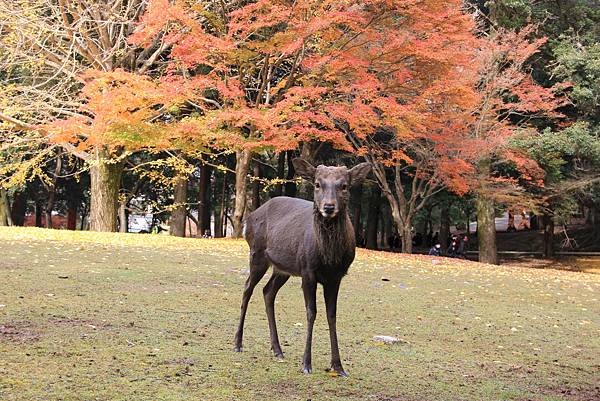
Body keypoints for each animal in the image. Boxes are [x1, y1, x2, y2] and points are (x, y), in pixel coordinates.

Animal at [233, 157, 370, 376]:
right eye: (317, 184)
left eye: (344, 186)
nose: (328, 207)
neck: (329, 258)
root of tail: (248, 220)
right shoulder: (307, 270)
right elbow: (311, 312)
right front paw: (306, 363)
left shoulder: (337, 277)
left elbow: (332, 315)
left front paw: (338, 366)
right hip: (257, 254)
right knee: (247, 288)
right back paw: (238, 343)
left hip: (282, 268)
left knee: (267, 291)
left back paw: (277, 349)